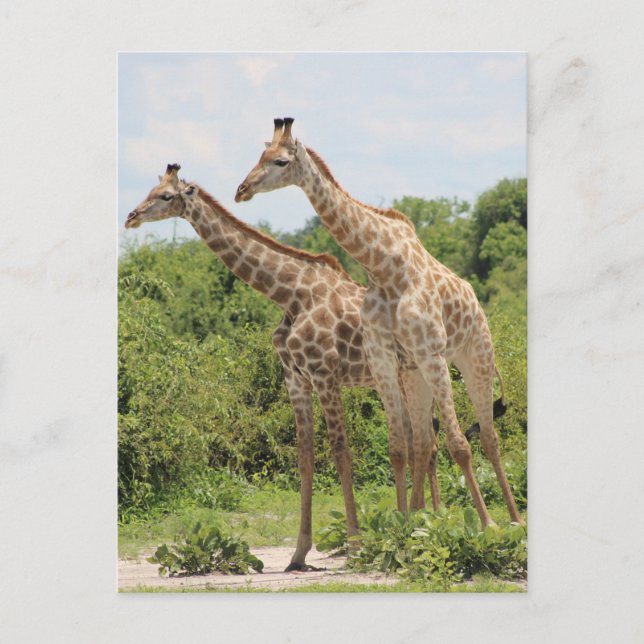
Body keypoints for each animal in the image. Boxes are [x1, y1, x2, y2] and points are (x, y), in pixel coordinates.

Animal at [125, 163, 441, 571]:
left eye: (165, 196)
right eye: (150, 190)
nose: (131, 216)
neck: (290, 294)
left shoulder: (324, 374)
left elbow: (341, 452)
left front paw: (355, 546)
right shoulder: (295, 378)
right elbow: (305, 457)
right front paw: (299, 553)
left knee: (426, 444)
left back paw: (424, 521)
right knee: (427, 444)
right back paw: (427, 519)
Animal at [235, 118, 524, 527]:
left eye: (279, 161)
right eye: (258, 156)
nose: (241, 190)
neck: (384, 268)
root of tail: (475, 299)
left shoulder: (431, 353)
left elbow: (460, 445)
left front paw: (486, 525)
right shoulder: (385, 358)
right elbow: (398, 448)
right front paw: (404, 524)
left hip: (474, 356)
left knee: (487, 437)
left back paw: (512, 519)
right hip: (416, 374)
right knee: (427, 442)